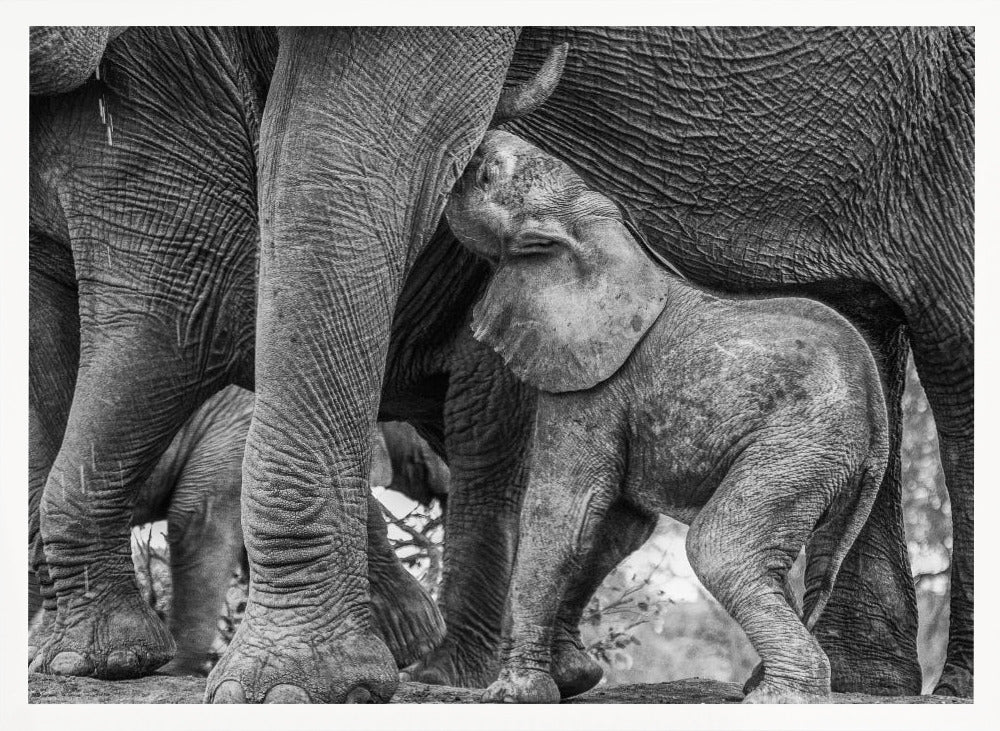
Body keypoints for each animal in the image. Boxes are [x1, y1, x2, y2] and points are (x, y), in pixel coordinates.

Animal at [445, 130, 891, 703]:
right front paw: (574, 679)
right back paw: (761, 685)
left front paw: (514, 695)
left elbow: (564, 512)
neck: (598, 230)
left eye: (487, 173)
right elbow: (615, 525)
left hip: (800, 445)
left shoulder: (595, 382)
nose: (481, 139)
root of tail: (877, 412)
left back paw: (776, 698)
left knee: (720, 548)